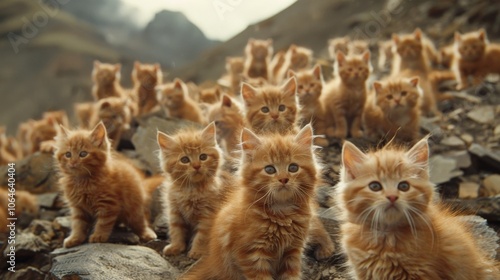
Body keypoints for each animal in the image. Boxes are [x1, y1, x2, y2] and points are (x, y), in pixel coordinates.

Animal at [182, 125, 318, 280]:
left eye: (293, 168)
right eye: (270, 169)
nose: (283, 179)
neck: (282, 210)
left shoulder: (293, 252)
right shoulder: (252, 254)